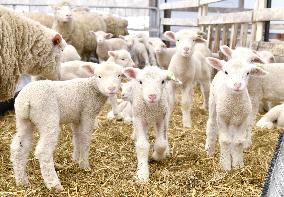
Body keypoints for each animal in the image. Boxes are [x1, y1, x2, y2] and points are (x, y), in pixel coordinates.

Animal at [10, 61, 125, 191]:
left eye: (119, 75)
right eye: (99, 76)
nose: (111, 88)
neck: (91, 88)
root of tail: (26, 100)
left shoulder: (76, 118)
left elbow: (76, 138)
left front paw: (75, 158)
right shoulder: (87, 114)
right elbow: (85, 140)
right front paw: (84, 165)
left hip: (23, 120)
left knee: (18, 148)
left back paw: (22, 181)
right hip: (48, 118)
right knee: (43, 151)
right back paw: (54, 184)